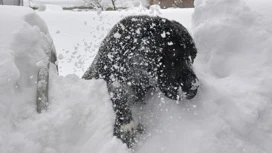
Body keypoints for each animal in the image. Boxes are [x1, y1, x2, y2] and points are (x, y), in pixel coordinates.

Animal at [82, 15, 199, 147]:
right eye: (170, 50)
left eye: (193, 56)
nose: (193, 86)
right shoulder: (110, 75)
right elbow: (118, 93)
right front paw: (125, 124)